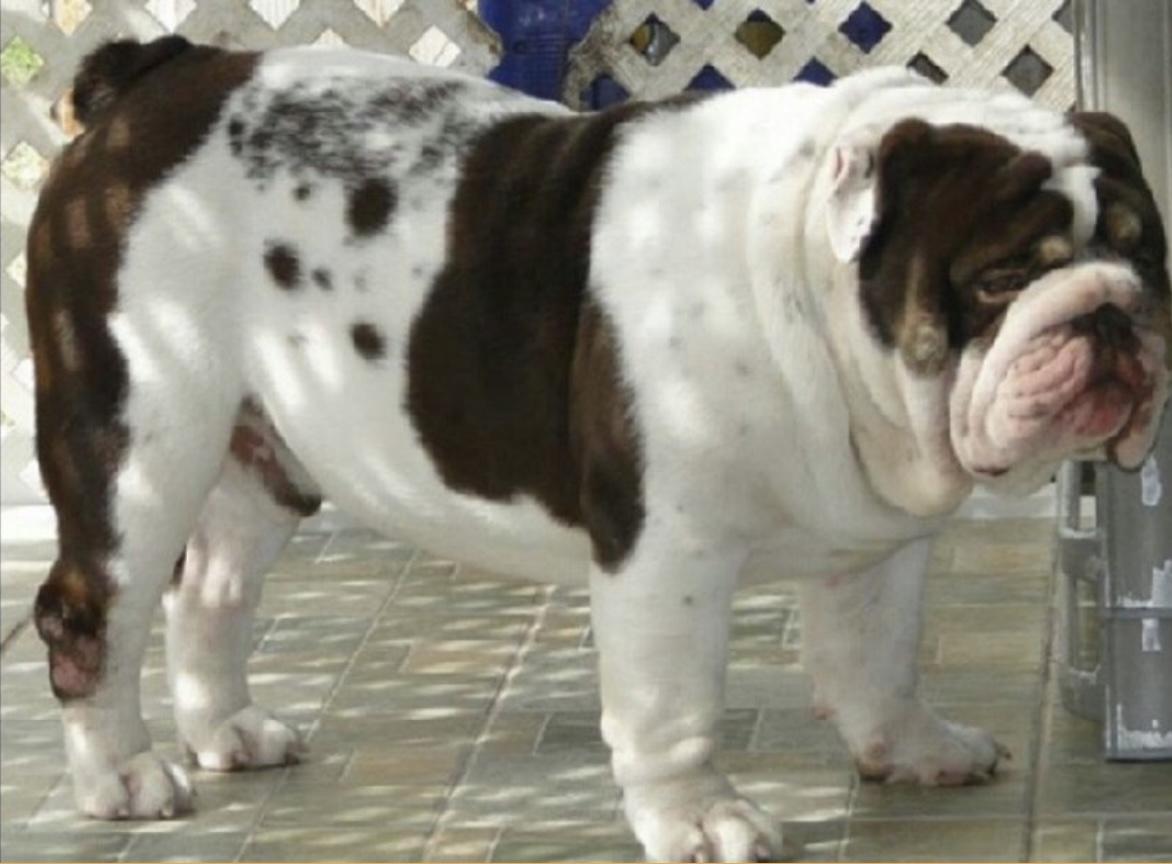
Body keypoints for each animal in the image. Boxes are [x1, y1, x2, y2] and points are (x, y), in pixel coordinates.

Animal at [22, 37, 1167, 858]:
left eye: (1143, 253)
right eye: (999, 278)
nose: (1110, 312)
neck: (796, 282)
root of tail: (153, 76)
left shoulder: (878, 546)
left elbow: (878, 658)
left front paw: (912, 749)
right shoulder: (668, 556)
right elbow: (674, 706)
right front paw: (699, 819)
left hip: (260, 457)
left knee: (209, 591)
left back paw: (228, 735)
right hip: (138, 442)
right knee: (90, 612)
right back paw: (121, 778)